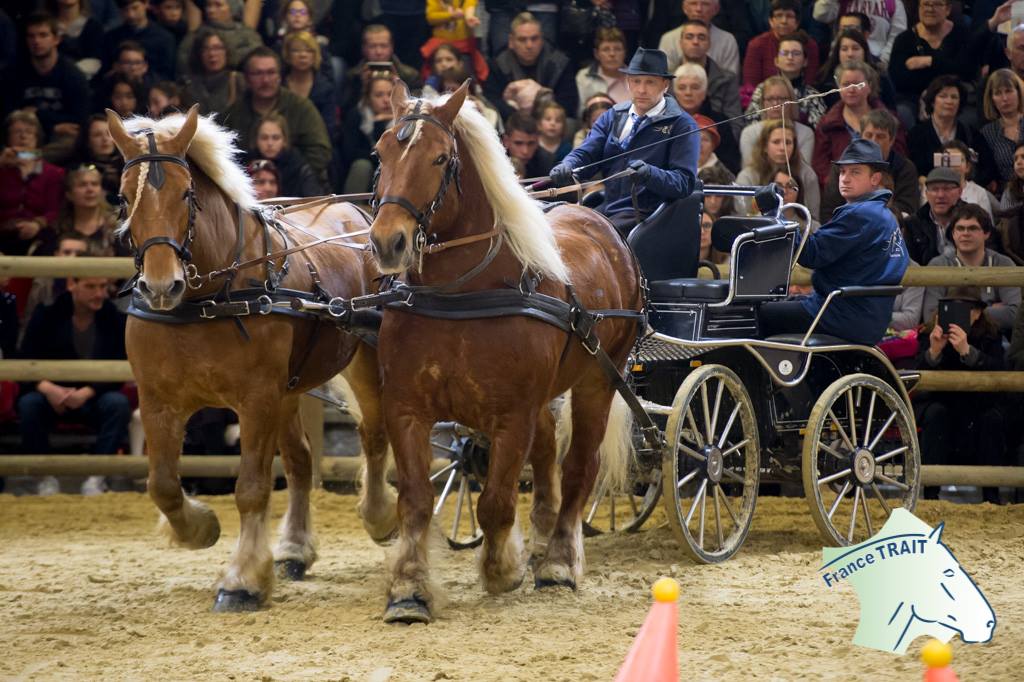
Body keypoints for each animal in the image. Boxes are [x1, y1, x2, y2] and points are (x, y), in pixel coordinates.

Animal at [108, 106, 395, 610]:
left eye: (186, 193)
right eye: (124, 199)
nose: (161, 286)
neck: (205, 299)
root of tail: (351, 208)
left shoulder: (256, 399)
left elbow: (251, 489)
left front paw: (241, 579)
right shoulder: (159, 400)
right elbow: (162, 485)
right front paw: (200, 528)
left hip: (361, 357)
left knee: (374, 435)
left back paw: (380, 517)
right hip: (290, 387)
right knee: (300, 460)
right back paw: (294, 550)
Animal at [364, 80, 643, 622]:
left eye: (440, 157)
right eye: (381, 151)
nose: (389, 242)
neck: (461, 295)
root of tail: (600, 223)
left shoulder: (511, 415)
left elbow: (495, 501)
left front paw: (502, 569)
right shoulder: (405, 408)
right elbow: (416, 499)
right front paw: (409, 588)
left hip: (600, 379)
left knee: (578, 468)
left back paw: (559, 561)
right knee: (549, 455)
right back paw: (542, 544)